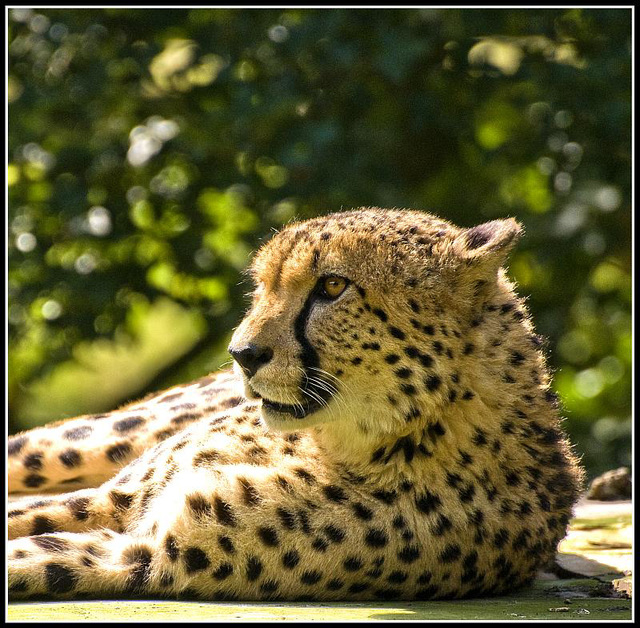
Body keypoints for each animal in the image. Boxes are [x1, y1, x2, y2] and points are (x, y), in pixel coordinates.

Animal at [6, 209, 584, 600]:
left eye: (332, 286)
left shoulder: (147, 552)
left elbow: (35, 553)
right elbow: (28, 516)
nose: (242, 354)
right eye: (263, 286)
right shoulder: (121, 499)